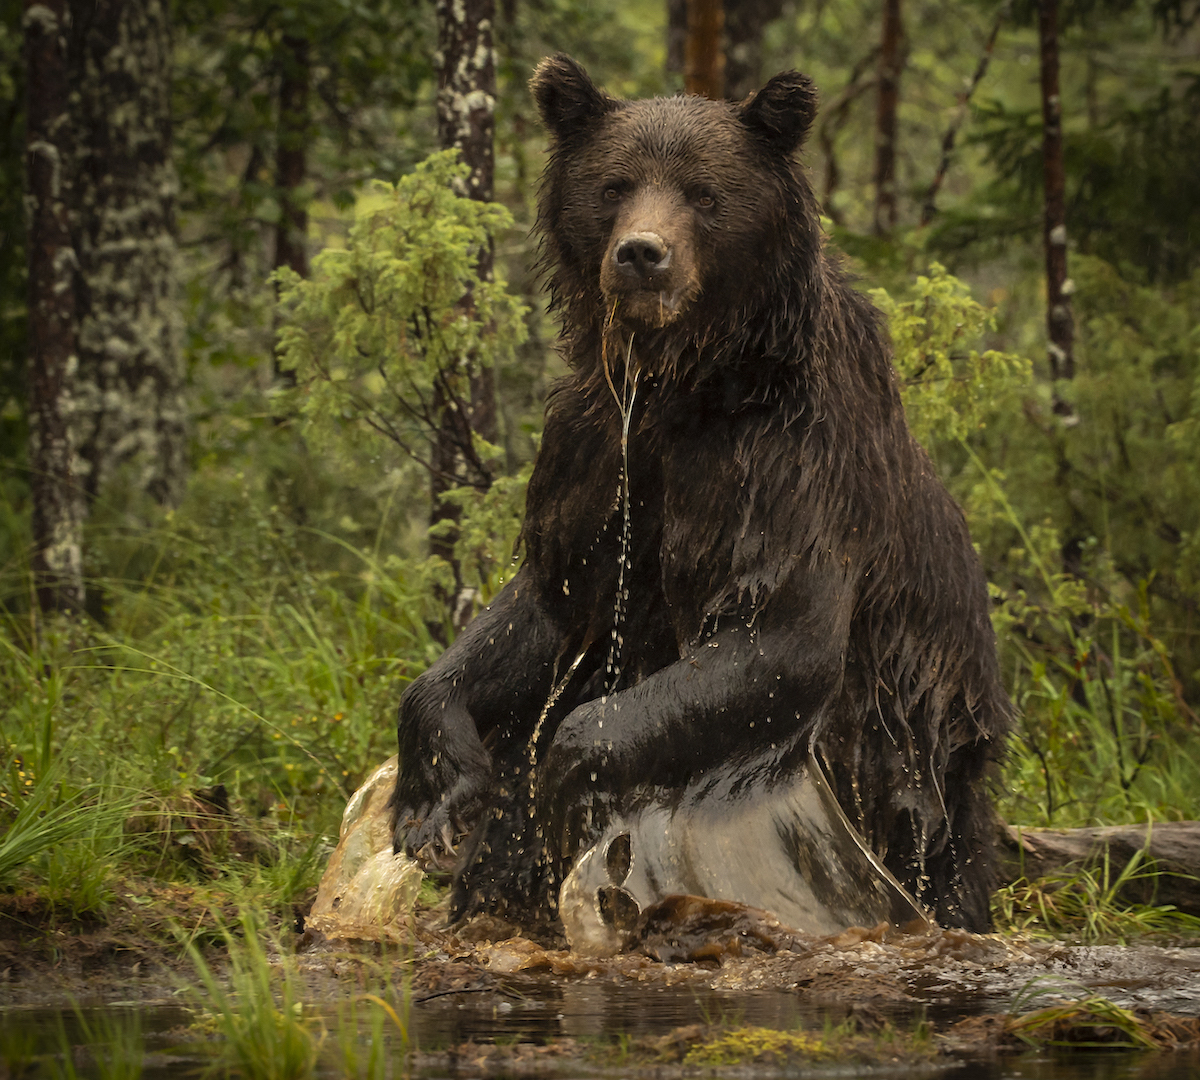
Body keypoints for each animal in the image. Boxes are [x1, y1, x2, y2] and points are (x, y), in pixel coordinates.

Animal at [388, 57, 1008, 936]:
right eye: (613, 185)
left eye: (705, 192)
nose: (641, 254)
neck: (684, 382)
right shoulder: (601, 456)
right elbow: (543, 607)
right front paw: (436, 801)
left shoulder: (783, 467)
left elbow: (773, 637)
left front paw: (565, 801)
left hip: (925, 753)